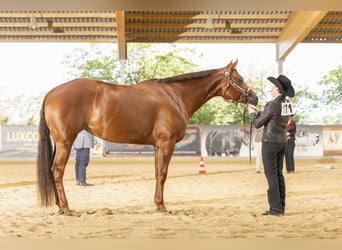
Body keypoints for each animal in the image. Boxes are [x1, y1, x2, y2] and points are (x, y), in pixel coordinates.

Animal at [36, 59, 256, 215]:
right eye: (239, 79)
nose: (254, 97)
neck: (175, 96)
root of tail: (51, 94)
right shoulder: (166, 143)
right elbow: (163, 174)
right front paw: (162, 206)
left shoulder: (158, 146)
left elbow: (157, 172)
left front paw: (157, 204)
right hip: (65, 142)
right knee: (57, 170)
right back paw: (66, 208)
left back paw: (59, 206)